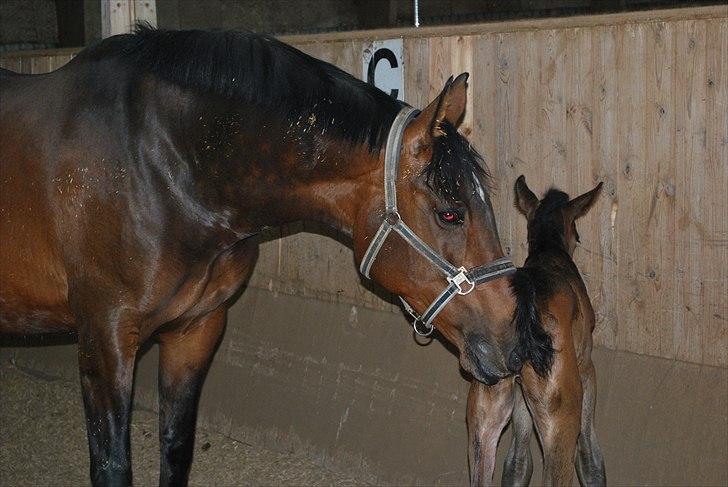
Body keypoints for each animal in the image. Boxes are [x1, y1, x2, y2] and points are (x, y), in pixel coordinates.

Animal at [466, 176, 608, 487]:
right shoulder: (587, 368)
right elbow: (590, 456)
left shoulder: (520, 403)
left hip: (484, 420)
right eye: (576, 230)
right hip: (559, 421)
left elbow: (517, 463)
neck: (548, 253)